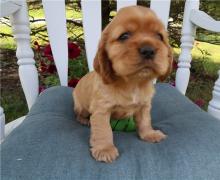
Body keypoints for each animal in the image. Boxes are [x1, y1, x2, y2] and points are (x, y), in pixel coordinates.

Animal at [73, 5, 173, 163]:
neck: (133, 83)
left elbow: (145, 121)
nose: (148, 50)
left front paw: (149, 134)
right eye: (124, 36)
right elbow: (104, 130)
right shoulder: (101, 110)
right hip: (81, 107)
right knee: (79, 114)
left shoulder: (144, 106)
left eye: (159, 36)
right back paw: (84, 120)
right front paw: (105, 149)